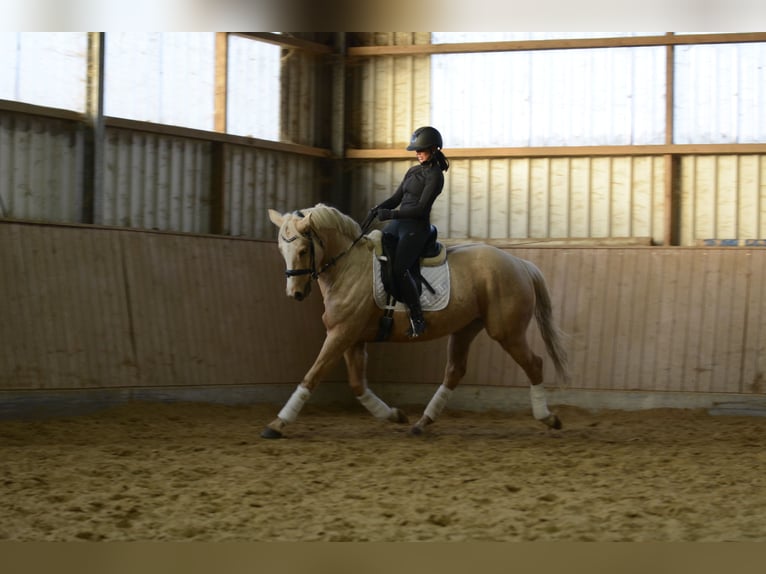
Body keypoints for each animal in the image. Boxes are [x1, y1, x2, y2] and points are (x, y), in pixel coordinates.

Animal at [262, 203, 570, 438]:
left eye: (303, 250)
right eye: (281, 251)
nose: (295, 293)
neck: (348, 267)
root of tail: (520, 264)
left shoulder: (342, 334)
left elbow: (312, 375)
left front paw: (277, 424)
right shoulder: (352, 338)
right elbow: (357, 384)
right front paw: (393, 414)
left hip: (506, 332)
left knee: (534, 363)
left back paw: (548, 417)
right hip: (466, 328)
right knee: (455, 371)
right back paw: (422, 423)